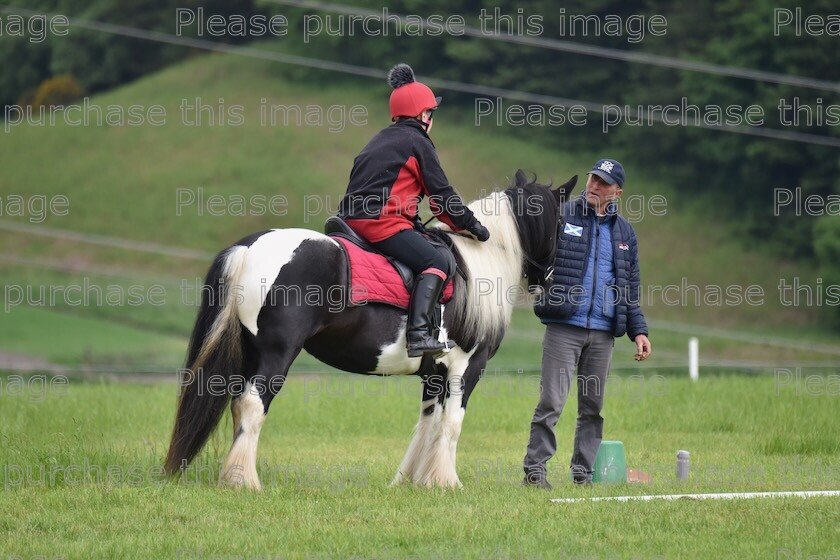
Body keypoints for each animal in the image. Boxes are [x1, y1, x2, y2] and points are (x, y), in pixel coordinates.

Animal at [163, 171, 576, 490]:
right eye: (561, 225)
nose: (548, 283)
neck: (478, 266)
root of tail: (250, 247)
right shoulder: (466, 367)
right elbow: (452, 423)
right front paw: (446, 482)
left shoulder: (434, 373)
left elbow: (428, 422)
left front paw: (414, 481)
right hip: (275, 354)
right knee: (251, 404)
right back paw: (243, 480)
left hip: (249, 352)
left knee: (237, 406)